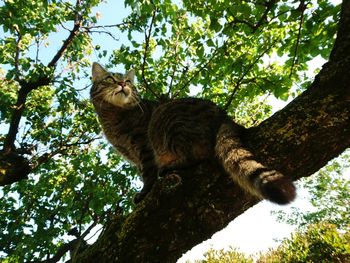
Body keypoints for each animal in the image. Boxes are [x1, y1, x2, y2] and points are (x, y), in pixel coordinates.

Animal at [90, 63, 296, 205]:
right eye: (110, 79)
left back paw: (170, 167)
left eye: (128, 81)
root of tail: (224, 115)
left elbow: (148, 174)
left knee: (199, 156)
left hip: (172, 124)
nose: (122, 83)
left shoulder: (143, 145)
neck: (113, 118)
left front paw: (145, 192)